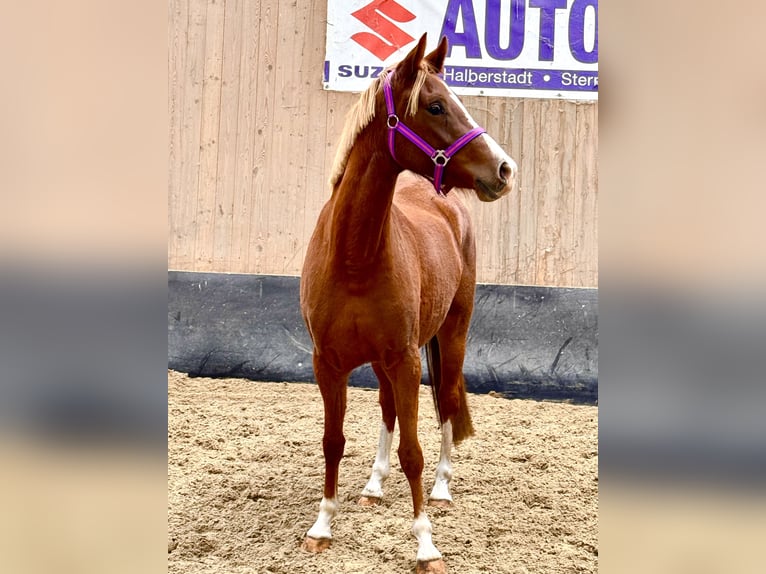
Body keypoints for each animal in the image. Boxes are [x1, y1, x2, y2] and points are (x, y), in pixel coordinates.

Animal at [300, 36, 516, 574]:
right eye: (436, 106)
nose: (505, 170)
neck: (354, 257)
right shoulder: (328, 363)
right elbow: (333, 442)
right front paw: (323, 525)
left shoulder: (404, 360)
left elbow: (414, 451)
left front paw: (425, 544)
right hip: (382, 362)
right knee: (386, 409)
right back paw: (374, 487)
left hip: (451, 337)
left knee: (447, 401)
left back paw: (441, 489)